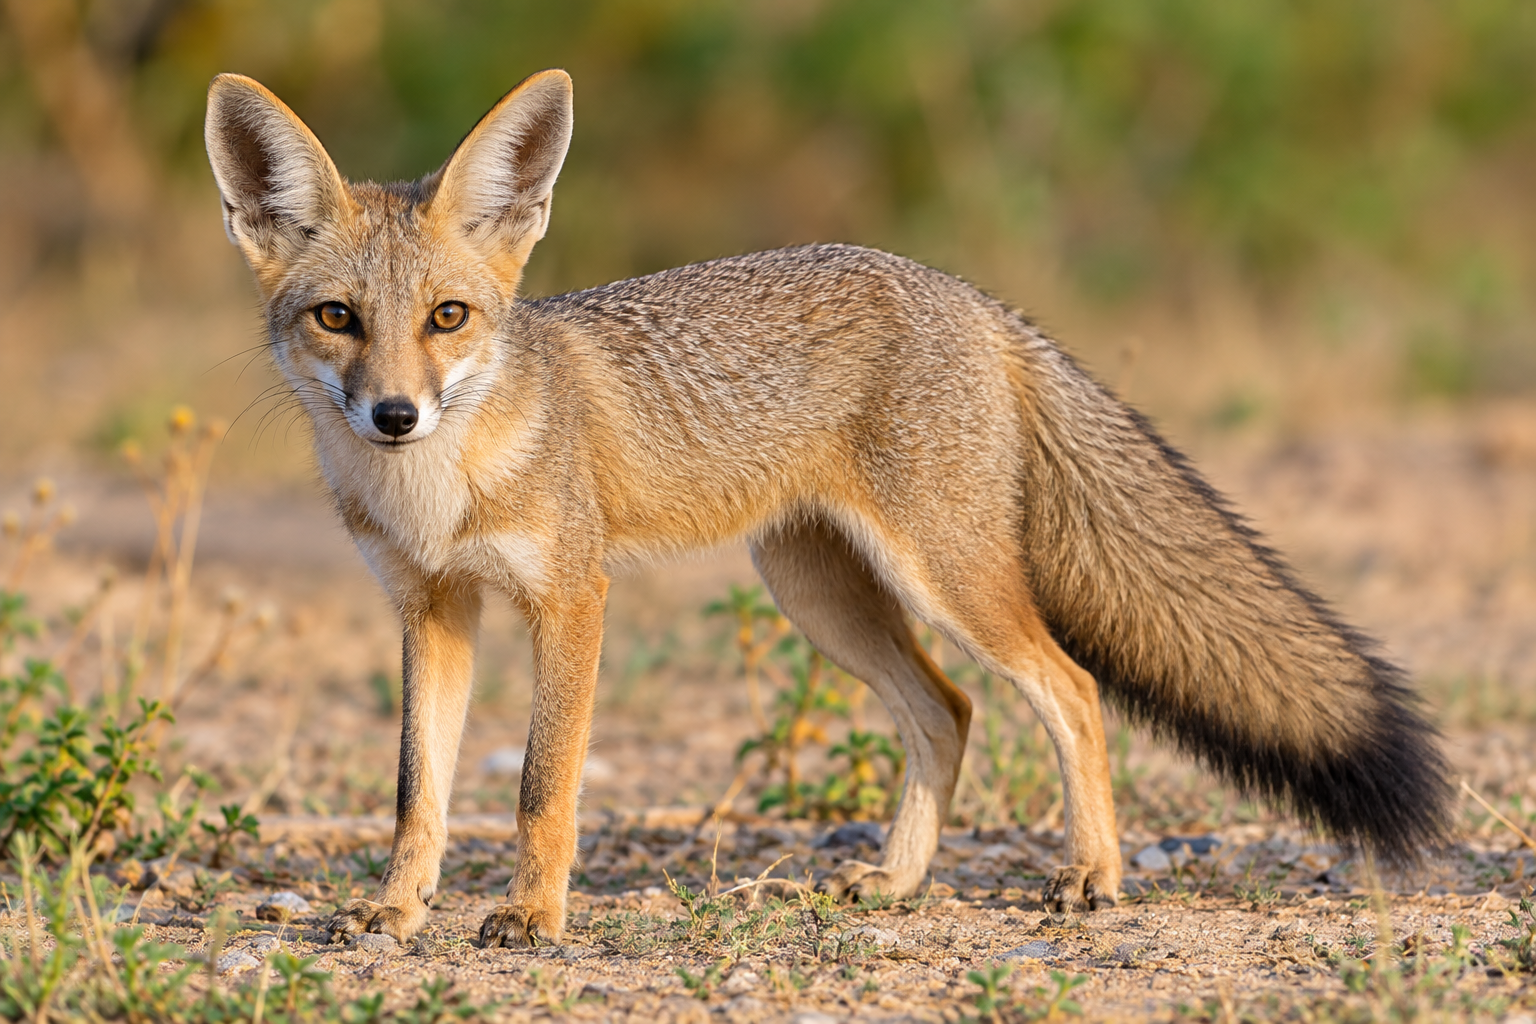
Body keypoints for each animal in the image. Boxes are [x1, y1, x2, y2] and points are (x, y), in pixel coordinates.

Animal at [203, 68, 1451, 948]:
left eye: (449, 318)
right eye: (338, 319)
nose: (395, 413)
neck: (433, 493)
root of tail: (968, 295)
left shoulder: (571, 600)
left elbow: (540, 784)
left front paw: (532, 918)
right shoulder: (431, 611)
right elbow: (419, 792)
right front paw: (396, 910)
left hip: (946, 580)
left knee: (1072, 690)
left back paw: (1091, 875)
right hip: (821, 592)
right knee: (948, 712)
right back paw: (898, 880)